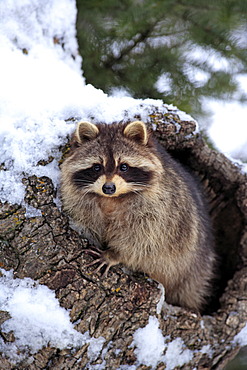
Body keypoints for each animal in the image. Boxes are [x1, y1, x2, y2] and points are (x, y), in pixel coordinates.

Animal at [60, 120, 215, 310]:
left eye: (123, 166)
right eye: (97, 167)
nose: (108, 188)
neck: (111, 199)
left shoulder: (159, 209)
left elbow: (141, 240)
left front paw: (114, 255)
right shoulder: (81, 202)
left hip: (194, 272)